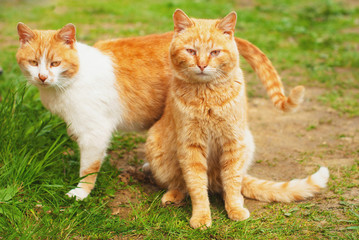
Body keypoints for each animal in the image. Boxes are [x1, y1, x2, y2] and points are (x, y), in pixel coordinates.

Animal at [16, 12, 310, 201]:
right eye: (33, 62)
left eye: (55, 63)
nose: (42, 77)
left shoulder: (94, 133)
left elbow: (88, 168)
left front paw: (81, 193)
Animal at [145, 9, 330, 229]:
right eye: (191, 51)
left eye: (215, 52)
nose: (202, 65)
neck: (208, 98)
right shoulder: (191, 146)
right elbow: (196, 185)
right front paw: (201, 217)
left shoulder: (233, 142)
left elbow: (232, 181)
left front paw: (234, 209)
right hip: (157, 150)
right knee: (180, 184)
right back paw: (172, 196)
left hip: (246, 142)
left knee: (231, 183)